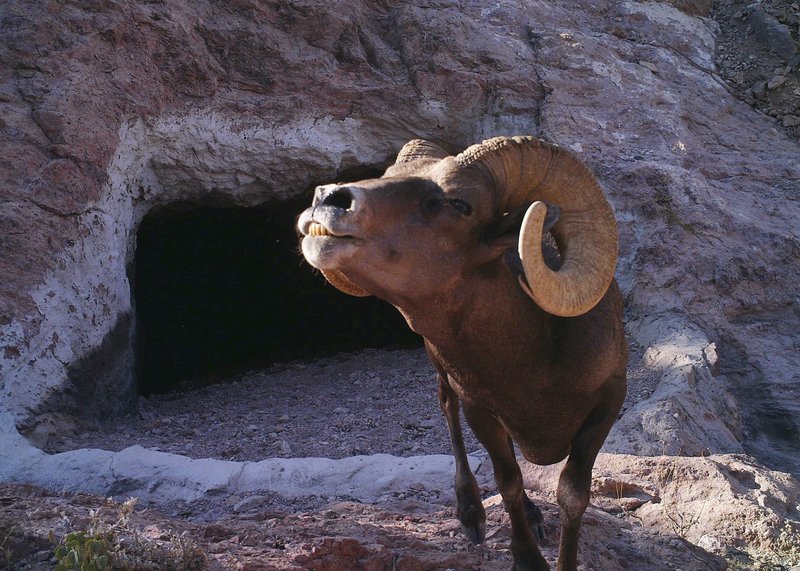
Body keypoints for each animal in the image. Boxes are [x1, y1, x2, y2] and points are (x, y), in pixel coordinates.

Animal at [297, 136, 628, 571]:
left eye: (459, 204)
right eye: (386, 175)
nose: (328, 199)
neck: (534, 369)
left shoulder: (607, 405)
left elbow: (572, 495)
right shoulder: (479, 410)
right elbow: (508, 480)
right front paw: (526, 558)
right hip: (442, 373)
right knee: (447, 408)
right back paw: (471, 513)